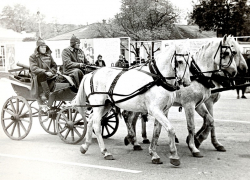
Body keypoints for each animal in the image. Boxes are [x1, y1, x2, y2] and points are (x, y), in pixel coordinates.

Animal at [123, 34, 242, 163]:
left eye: (234, 52)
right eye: (228, 53)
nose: (234, 72)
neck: (197, 74)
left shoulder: (199, 104)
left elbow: (210, 120)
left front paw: (199, 139)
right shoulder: (189, 104)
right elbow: (191, 126)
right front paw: (193, 147)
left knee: (132, 118)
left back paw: (134, 140)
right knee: (128, 116)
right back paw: (133, 140)